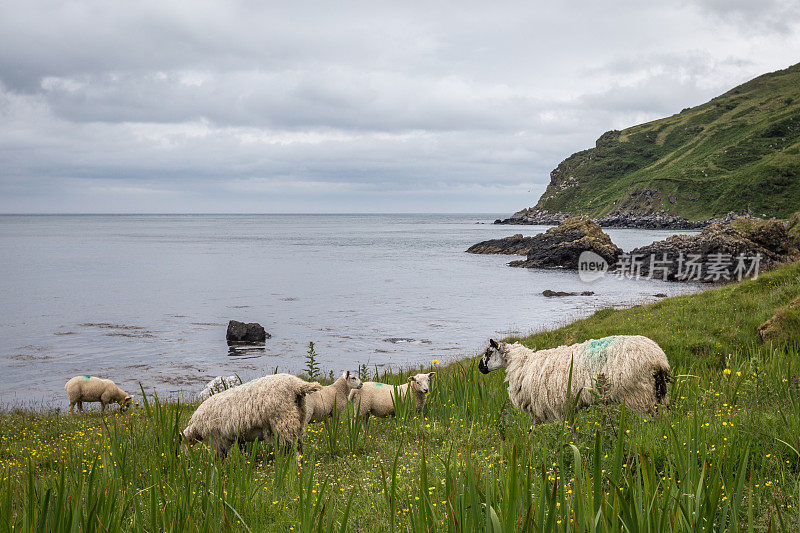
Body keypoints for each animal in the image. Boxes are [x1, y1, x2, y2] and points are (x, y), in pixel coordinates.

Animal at [180, 370, 320, 458]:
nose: (184, 459)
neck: (195, 428)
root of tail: (297, 384)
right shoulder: (238, 436)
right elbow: (243, 452)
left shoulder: (218, 439)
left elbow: (220, 457)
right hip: (299, 417)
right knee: (299, 446)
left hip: (284, 419)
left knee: (294, 447)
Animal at [478, 334, 672, 426]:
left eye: (488, 352)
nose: (480, 367)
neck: (522, 363)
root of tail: (659, 358)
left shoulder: (550, 405)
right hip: (658, 391)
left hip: (640, 393)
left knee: (653, 419)